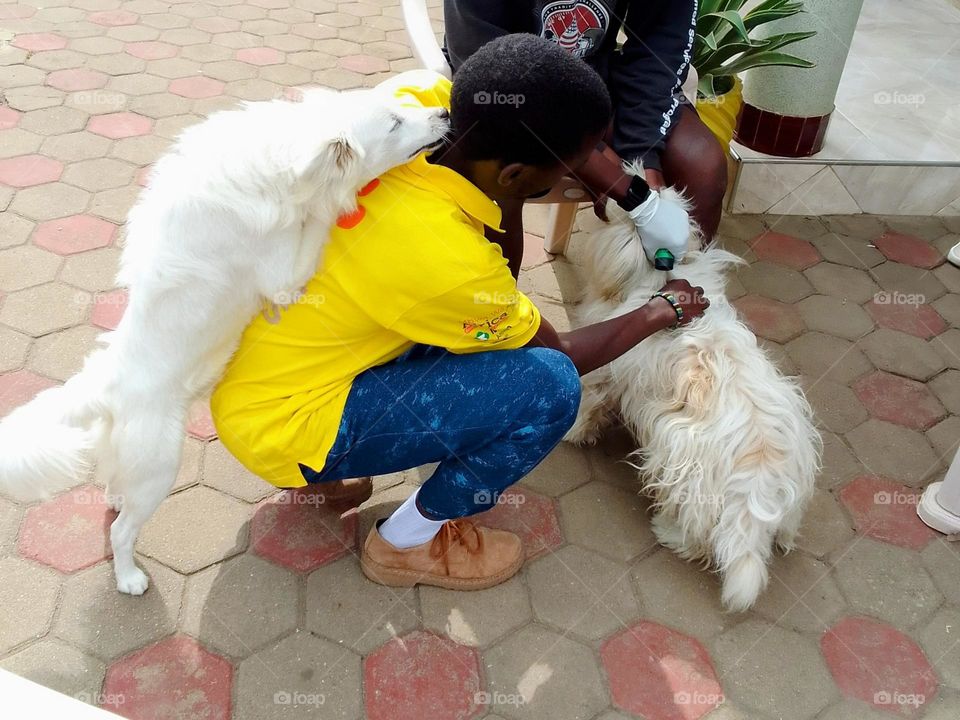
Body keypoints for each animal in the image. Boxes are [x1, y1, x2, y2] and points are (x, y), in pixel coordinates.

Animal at [0, 69, 450, 596]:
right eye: (395, 123)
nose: (445, 113)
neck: (276, 158)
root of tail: (106, 383)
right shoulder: (282, 275)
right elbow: (318, 215)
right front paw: (333, 196)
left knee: (113, 490)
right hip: (159, 468)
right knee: (120, 531)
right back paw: (129, 577)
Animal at [568, 179, 820, 608]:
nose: (621, 189)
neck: (662, 276)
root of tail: (758, 480)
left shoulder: (608, 372)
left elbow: (591, 401)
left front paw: (574, 432)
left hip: (681, 465)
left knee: (698, 535)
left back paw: (669, 533)